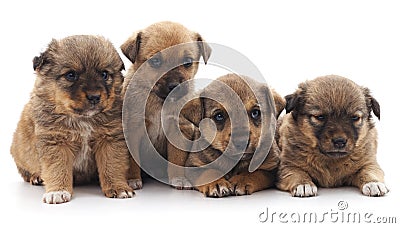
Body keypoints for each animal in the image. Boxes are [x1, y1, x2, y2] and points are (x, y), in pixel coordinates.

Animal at [9, 35, 134, 203]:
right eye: (70, 75)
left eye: (104, 74)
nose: (94, 97)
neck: (82, 119)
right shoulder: (55, 142)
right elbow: (58, 168)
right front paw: (58, 191)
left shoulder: (110, 140)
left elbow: (112, 166)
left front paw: (119, 188)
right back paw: (36, 177)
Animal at [119, 21, 211, 189]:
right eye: (155, 61)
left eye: (187, 62)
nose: (174, 86)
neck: (159, 102)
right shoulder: (132, 129)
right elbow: (132, 160)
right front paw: (132, 179)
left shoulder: (178, 129)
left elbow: (177, 158)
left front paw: (178, 179)